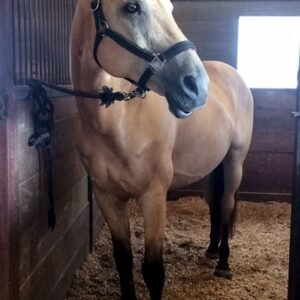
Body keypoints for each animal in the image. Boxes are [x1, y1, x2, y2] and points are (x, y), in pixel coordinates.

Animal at [69, 0, 253, 300]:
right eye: (132, 7)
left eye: (170, 8)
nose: (198, 86)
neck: (119, 122)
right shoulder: (107, 196)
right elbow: (123, 260)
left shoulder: (153, 196)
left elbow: (154, 272)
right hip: (211, 166)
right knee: (214, 203)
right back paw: (212, 251)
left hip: (234, 162)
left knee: (226, 204)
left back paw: (224, 263)